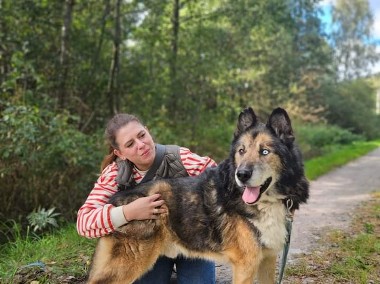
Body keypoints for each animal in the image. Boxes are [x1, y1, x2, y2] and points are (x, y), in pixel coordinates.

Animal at [88, 107, 308, 284]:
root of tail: (114, 202)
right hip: (128, 265)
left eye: (265, 151)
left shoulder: (267, 260)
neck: (267, 202)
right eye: (241, 151)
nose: (242, 175)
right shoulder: (246, 265)